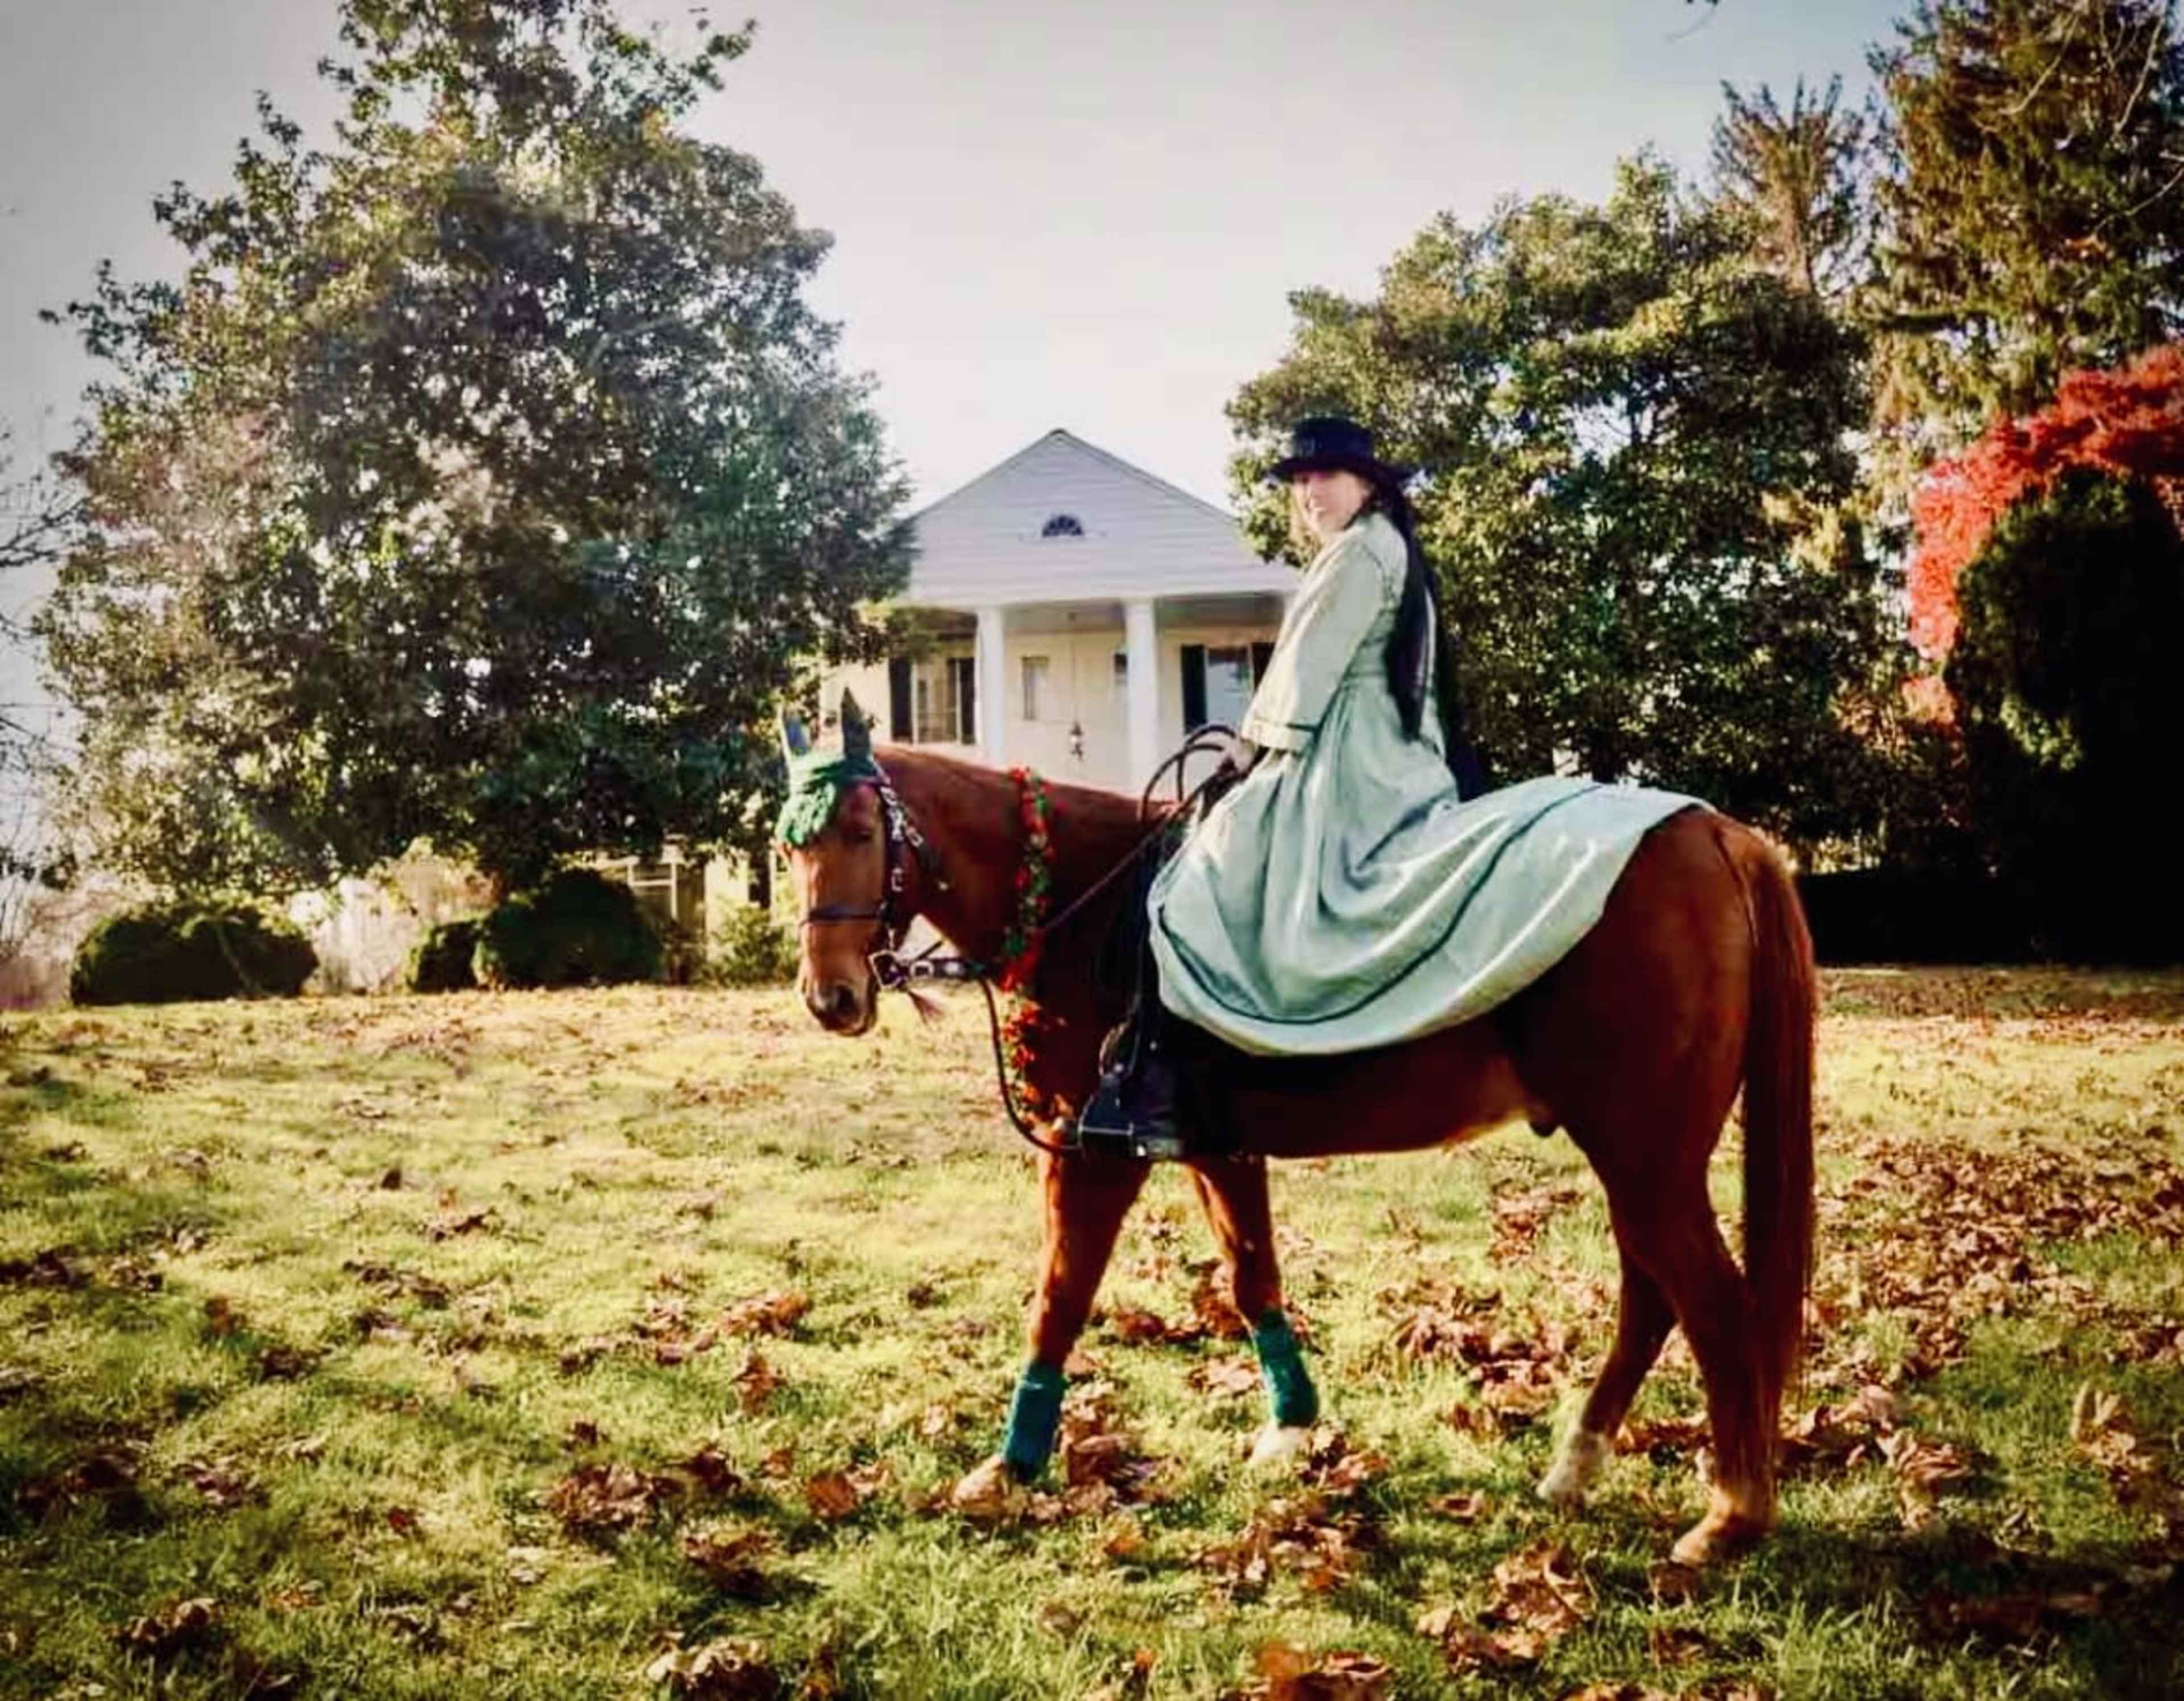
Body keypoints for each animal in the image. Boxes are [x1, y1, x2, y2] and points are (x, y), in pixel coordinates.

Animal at [780, 715, 1815, 1567]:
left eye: (863, 834)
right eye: (790, 848)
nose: (831, 997)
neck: (1081, 897)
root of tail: (1711, 831)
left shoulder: (1094, 1155)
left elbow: (1059, 1300)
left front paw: (1011, 1465)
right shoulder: (1215, 1147)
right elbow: (1252, 1276)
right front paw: (1292, 1428)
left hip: (1645, 1155)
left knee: (1709, 1301)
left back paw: (1731, 1516)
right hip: (1640, 1155)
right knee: (1653, 1295)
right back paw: (1581, 1465)